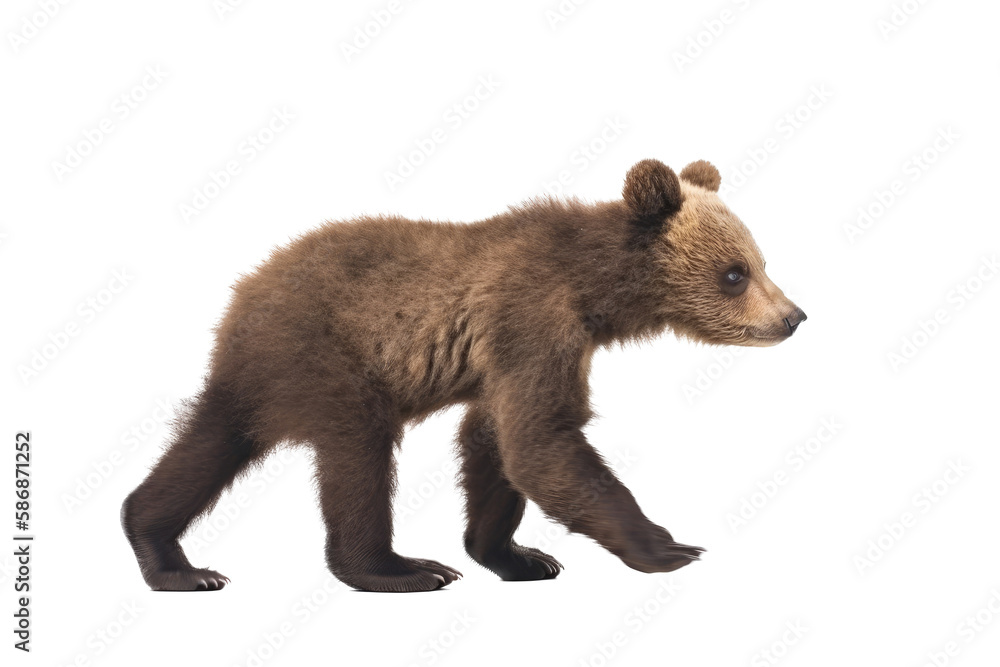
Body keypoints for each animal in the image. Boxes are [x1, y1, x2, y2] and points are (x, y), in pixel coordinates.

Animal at [121, 158, 806, 593]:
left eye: (761, 260)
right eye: (735, 272)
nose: (793, 316)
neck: (594, 291)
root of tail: (243, 294)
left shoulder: (527, 351)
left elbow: (495, 439)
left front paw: (517, 555)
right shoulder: (532, 317)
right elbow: (541, 439)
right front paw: (667, 545)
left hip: (262, 374)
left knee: (209, 443)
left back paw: (170, 557)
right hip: (331, 359)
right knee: (357, 457)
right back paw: (398, 568)